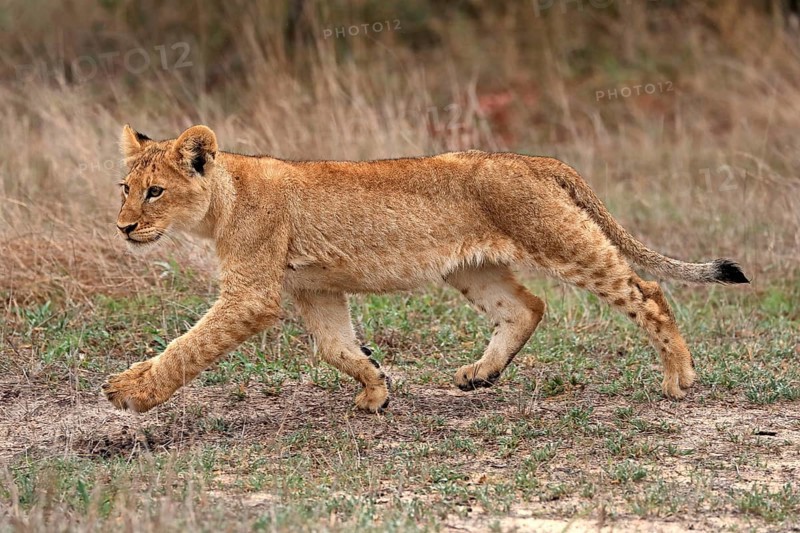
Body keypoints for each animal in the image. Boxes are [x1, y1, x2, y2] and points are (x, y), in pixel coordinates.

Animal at [103, 124, 749, 413]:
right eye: (125, 188)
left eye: (156, 191)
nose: (124, 226)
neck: (223, 200)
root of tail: (535, 159)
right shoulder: (313, 289)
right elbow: (337, 348)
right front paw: (375, 390)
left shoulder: (252, 294)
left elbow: (189, 345)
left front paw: (132, 390)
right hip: (472, 268)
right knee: (526, 307)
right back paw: (479, 375)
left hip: (563, 243)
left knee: (647, 290)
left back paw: (679, 379)